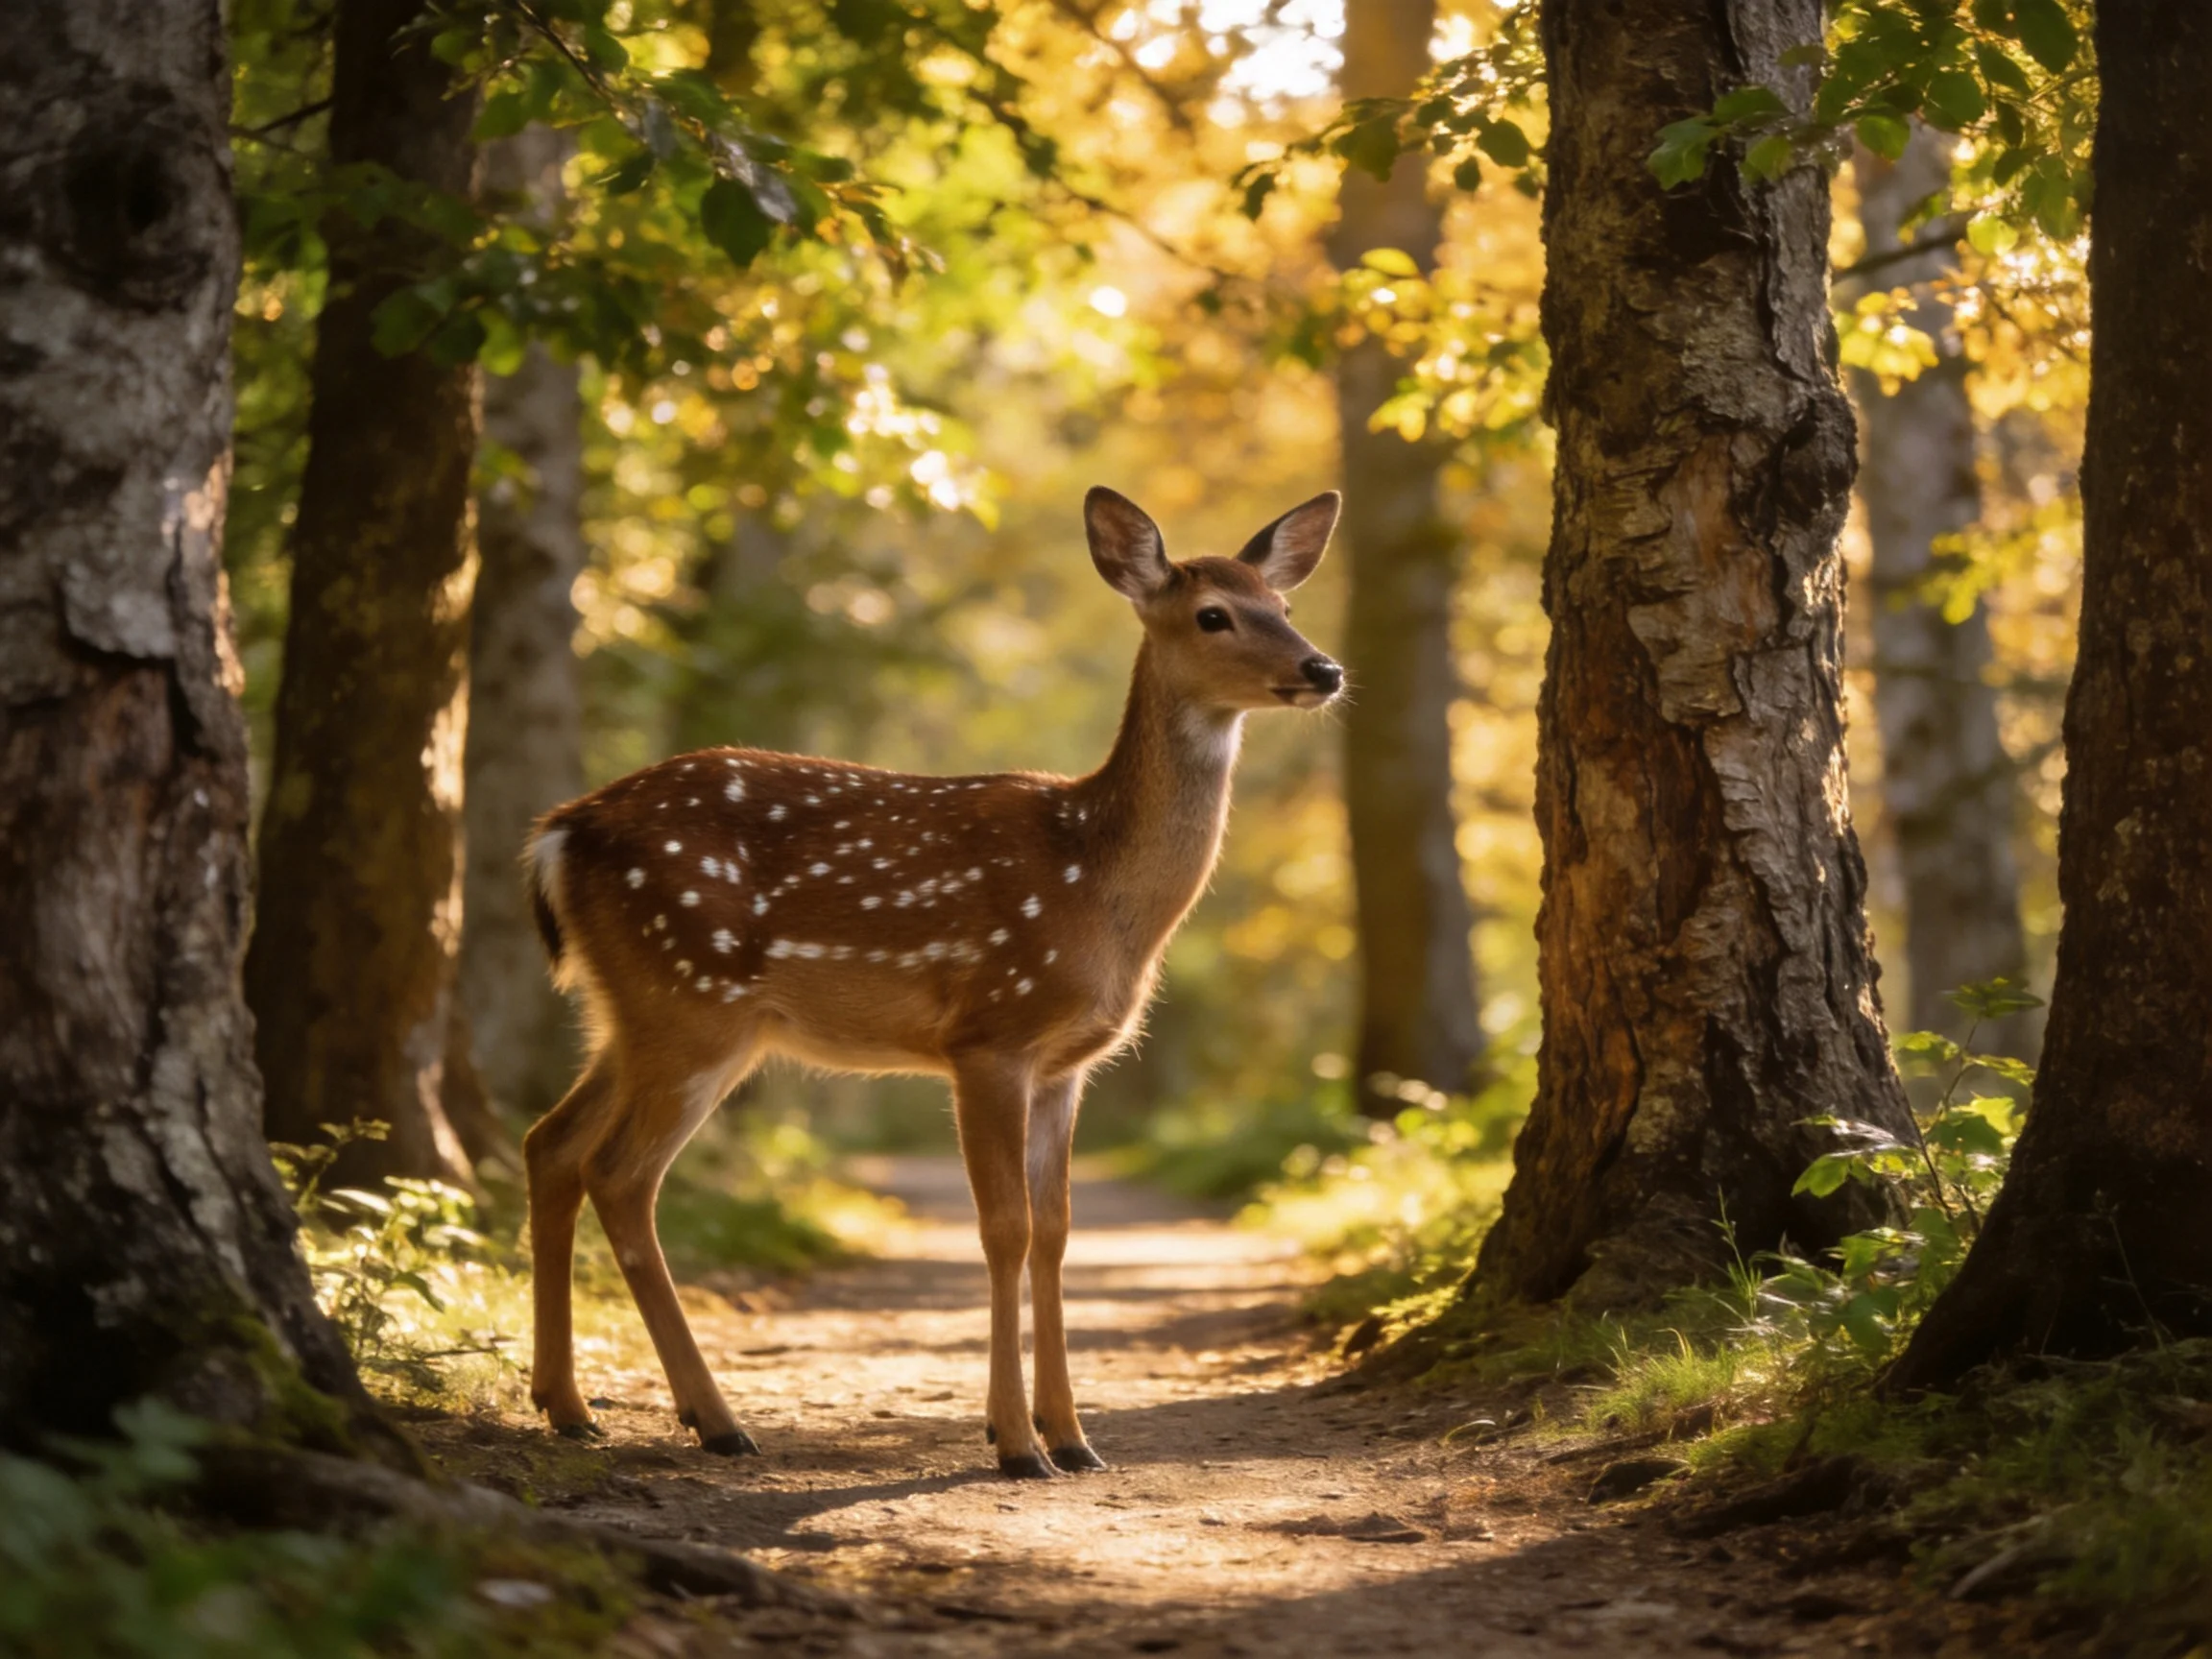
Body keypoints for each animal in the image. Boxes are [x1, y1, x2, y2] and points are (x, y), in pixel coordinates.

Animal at [520, 486, 1345, 1478]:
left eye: (1284, 605)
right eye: (1213, 614)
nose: (1324, 667)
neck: (1099, 886)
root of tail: (560, 834)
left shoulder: (1067, 1065)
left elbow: (1057, 1231)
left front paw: (1074, 1439)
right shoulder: (989, 1034)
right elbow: (1004, 1228)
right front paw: (1017, 1443)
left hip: (636, 1015)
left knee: (550, 1145)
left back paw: (568, 1407)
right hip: (692, 1003)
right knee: (620, 1175)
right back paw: (715, 1420)